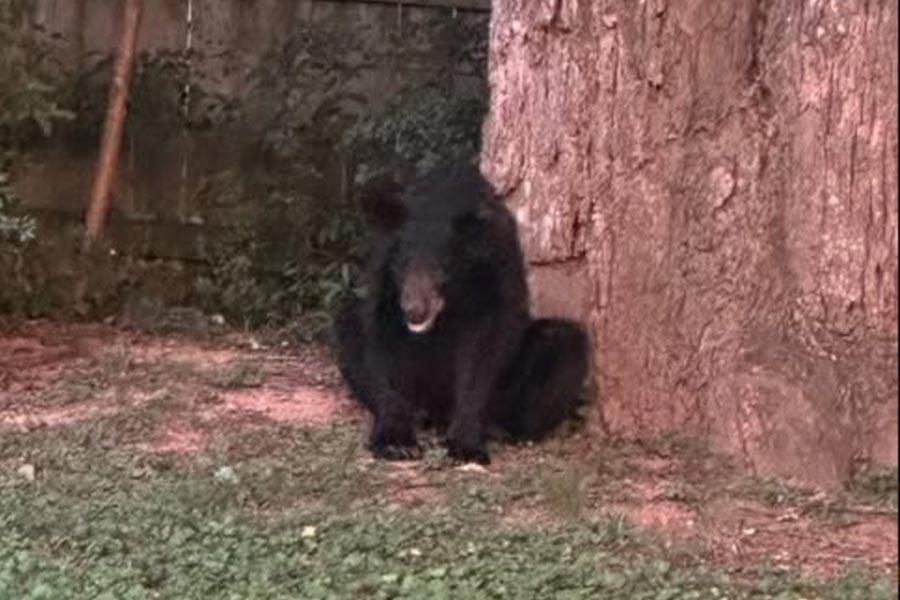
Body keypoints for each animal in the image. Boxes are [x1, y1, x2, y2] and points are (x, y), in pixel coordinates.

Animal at [333, 163, 589, 464]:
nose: (415, 311)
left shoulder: (496, 268)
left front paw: (466, 446)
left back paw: (501, 427)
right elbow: (379, 339)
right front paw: (395, 442)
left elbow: (484, 348)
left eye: (443, 270)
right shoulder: (383, 277)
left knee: (564, 341)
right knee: (347, 323)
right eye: (402, 264)